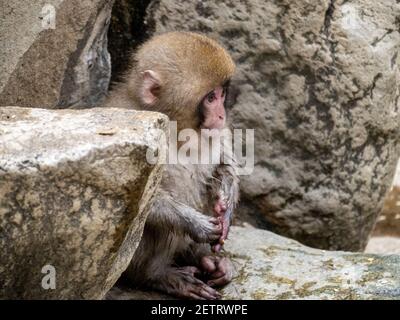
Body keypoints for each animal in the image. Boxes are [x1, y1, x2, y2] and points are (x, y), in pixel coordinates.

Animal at [104, 31, 239, 298]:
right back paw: (158, 276)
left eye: (221, 94)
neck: (179, 127)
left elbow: (224, 165)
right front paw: (195, 223)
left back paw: (207, 259)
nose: (221, 115)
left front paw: (226, 205)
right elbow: (137, 204)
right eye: (211, 98)